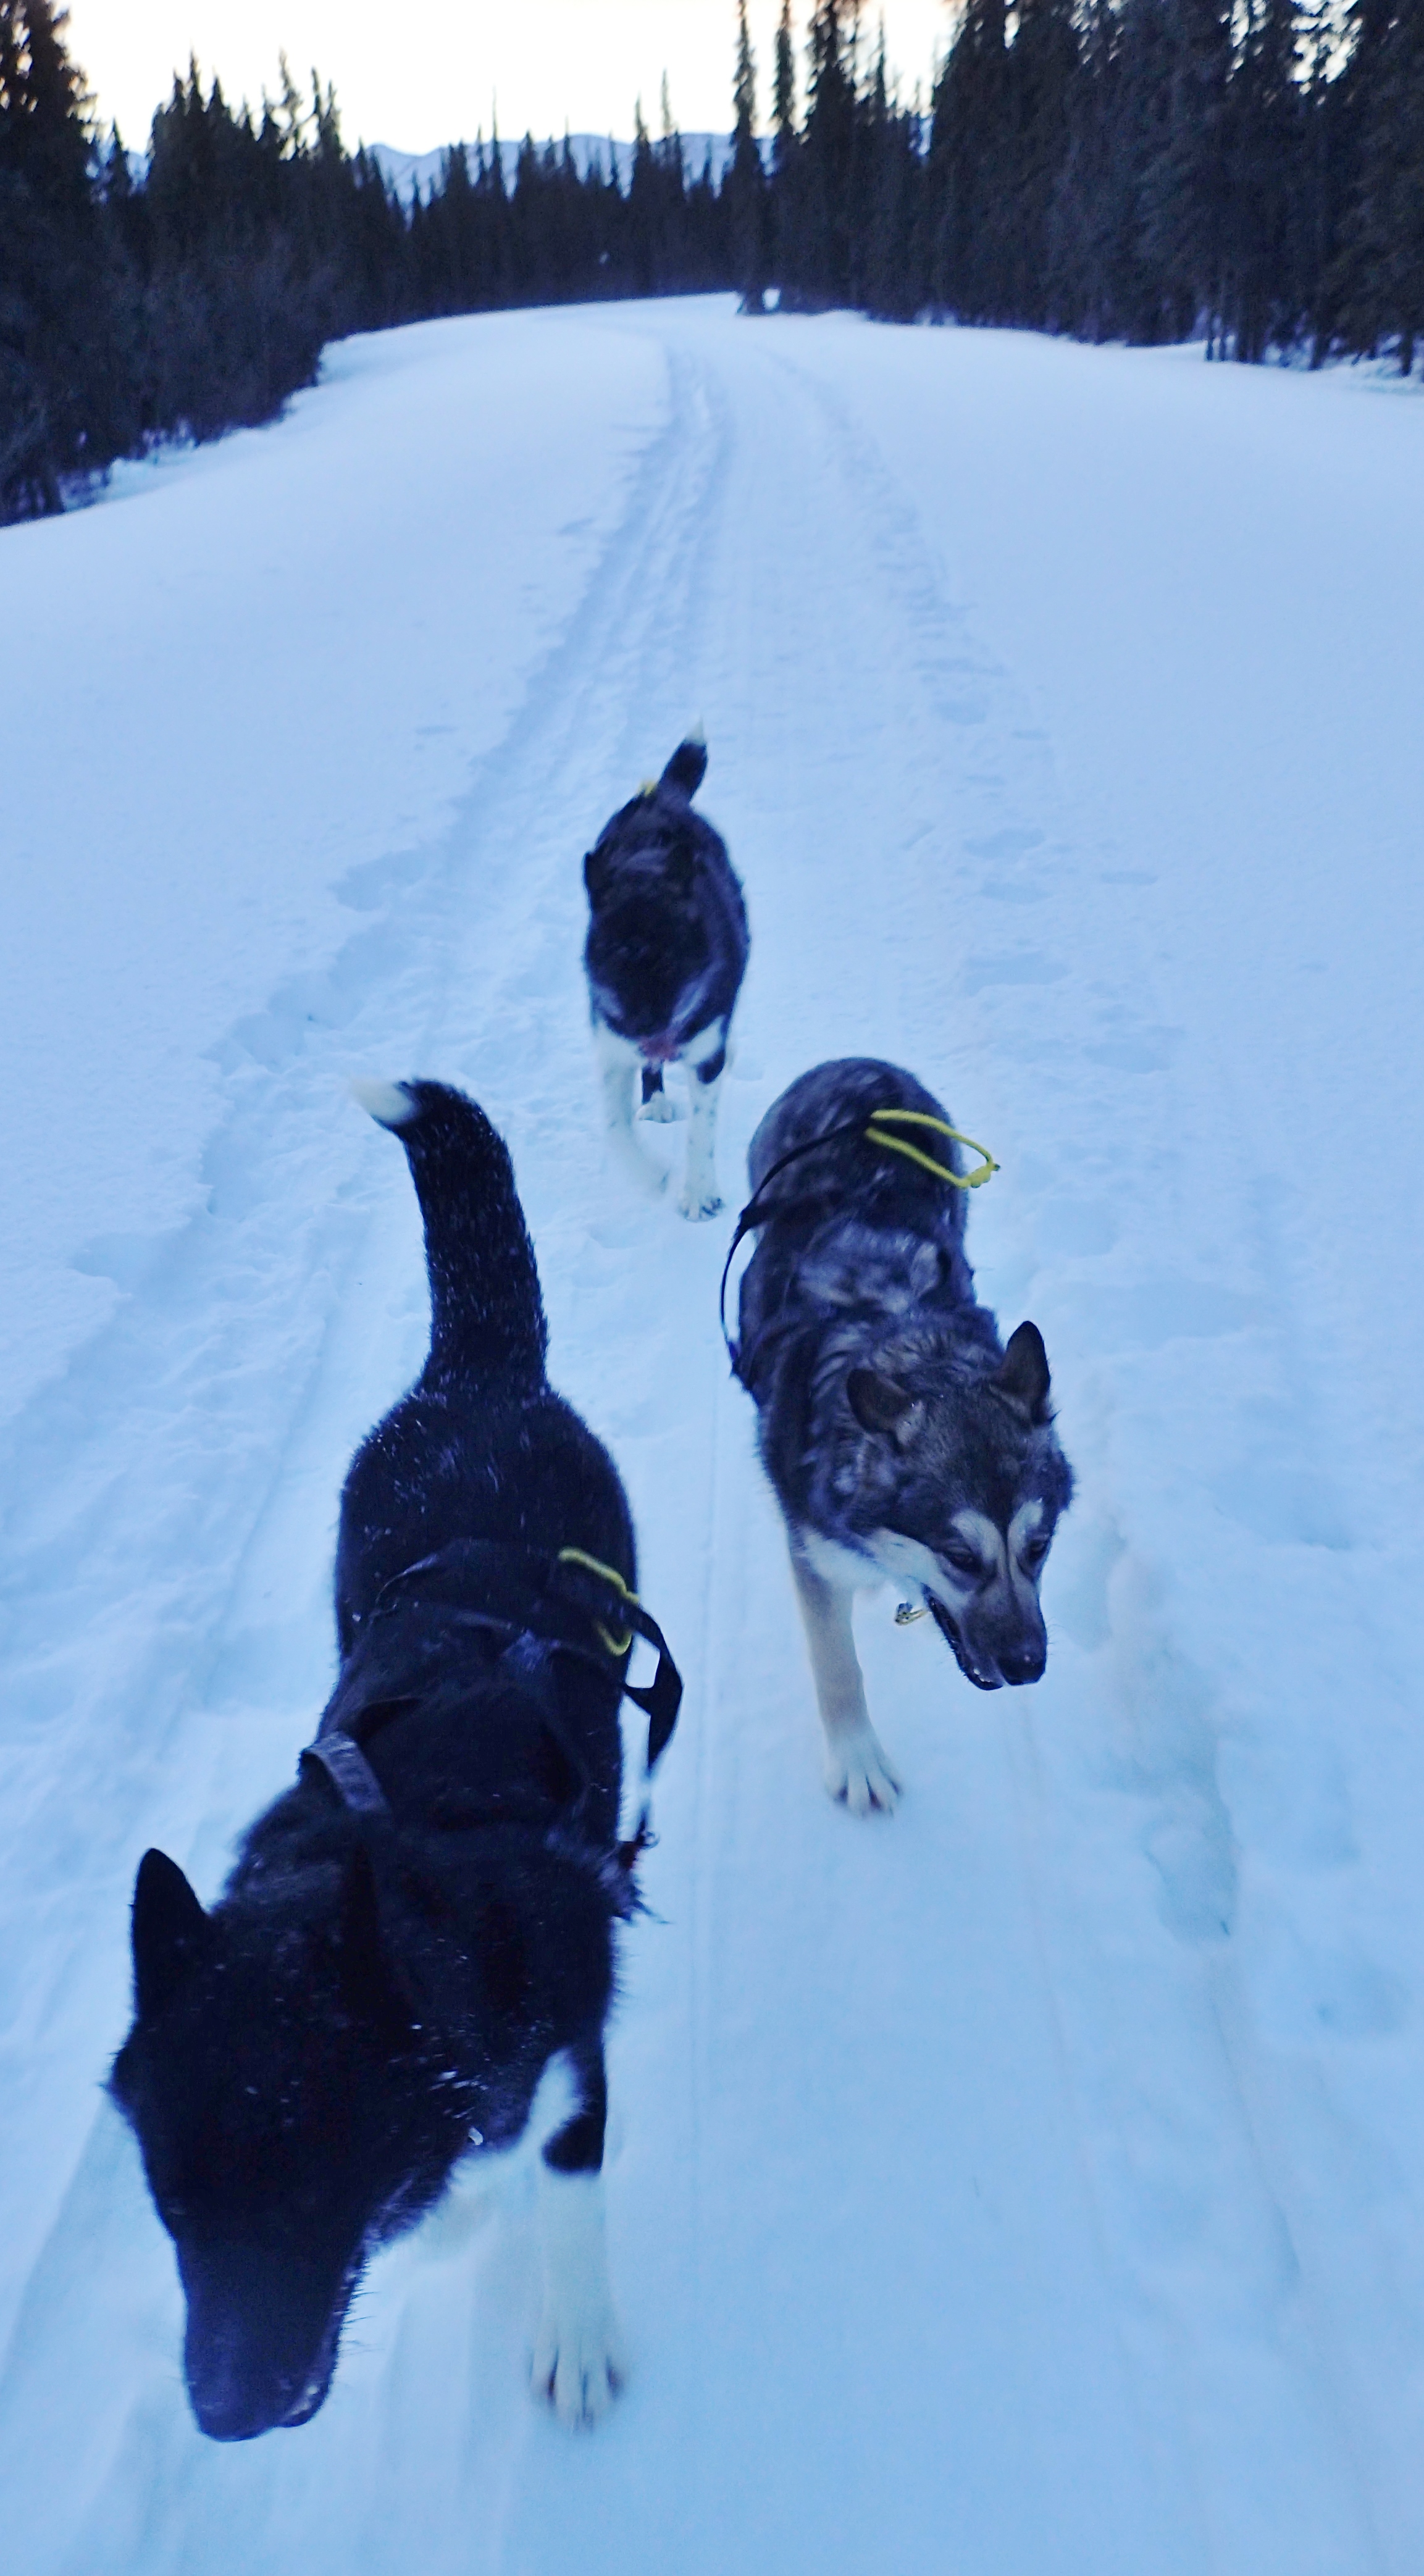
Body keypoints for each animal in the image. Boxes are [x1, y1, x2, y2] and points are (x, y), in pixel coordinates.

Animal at [111, 1082, 679, 2432]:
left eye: (309, 2190)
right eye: (171, 2205)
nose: (223, 2410)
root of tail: (476, 1373)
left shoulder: (575, 2060)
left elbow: (559, 2192)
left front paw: (576, 2339)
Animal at [579, 731, 752, 1221]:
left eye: (672, 962)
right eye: (616, 960)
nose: (645, 1026)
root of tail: (660, 797)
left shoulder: (704, 1051)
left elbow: (702, 1129)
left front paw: (698, 1193)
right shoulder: (611, 1046)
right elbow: (615, 1127)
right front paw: (653, 1176)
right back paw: (655, 1101)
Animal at [731, 1056, 1066, 1823]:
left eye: (1038, 1546)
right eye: (959, 1556)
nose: (1027, 1665)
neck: (912, 1349)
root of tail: (859, 1065)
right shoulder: (812, 1554)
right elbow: (837, 1666)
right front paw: (856, 1759)